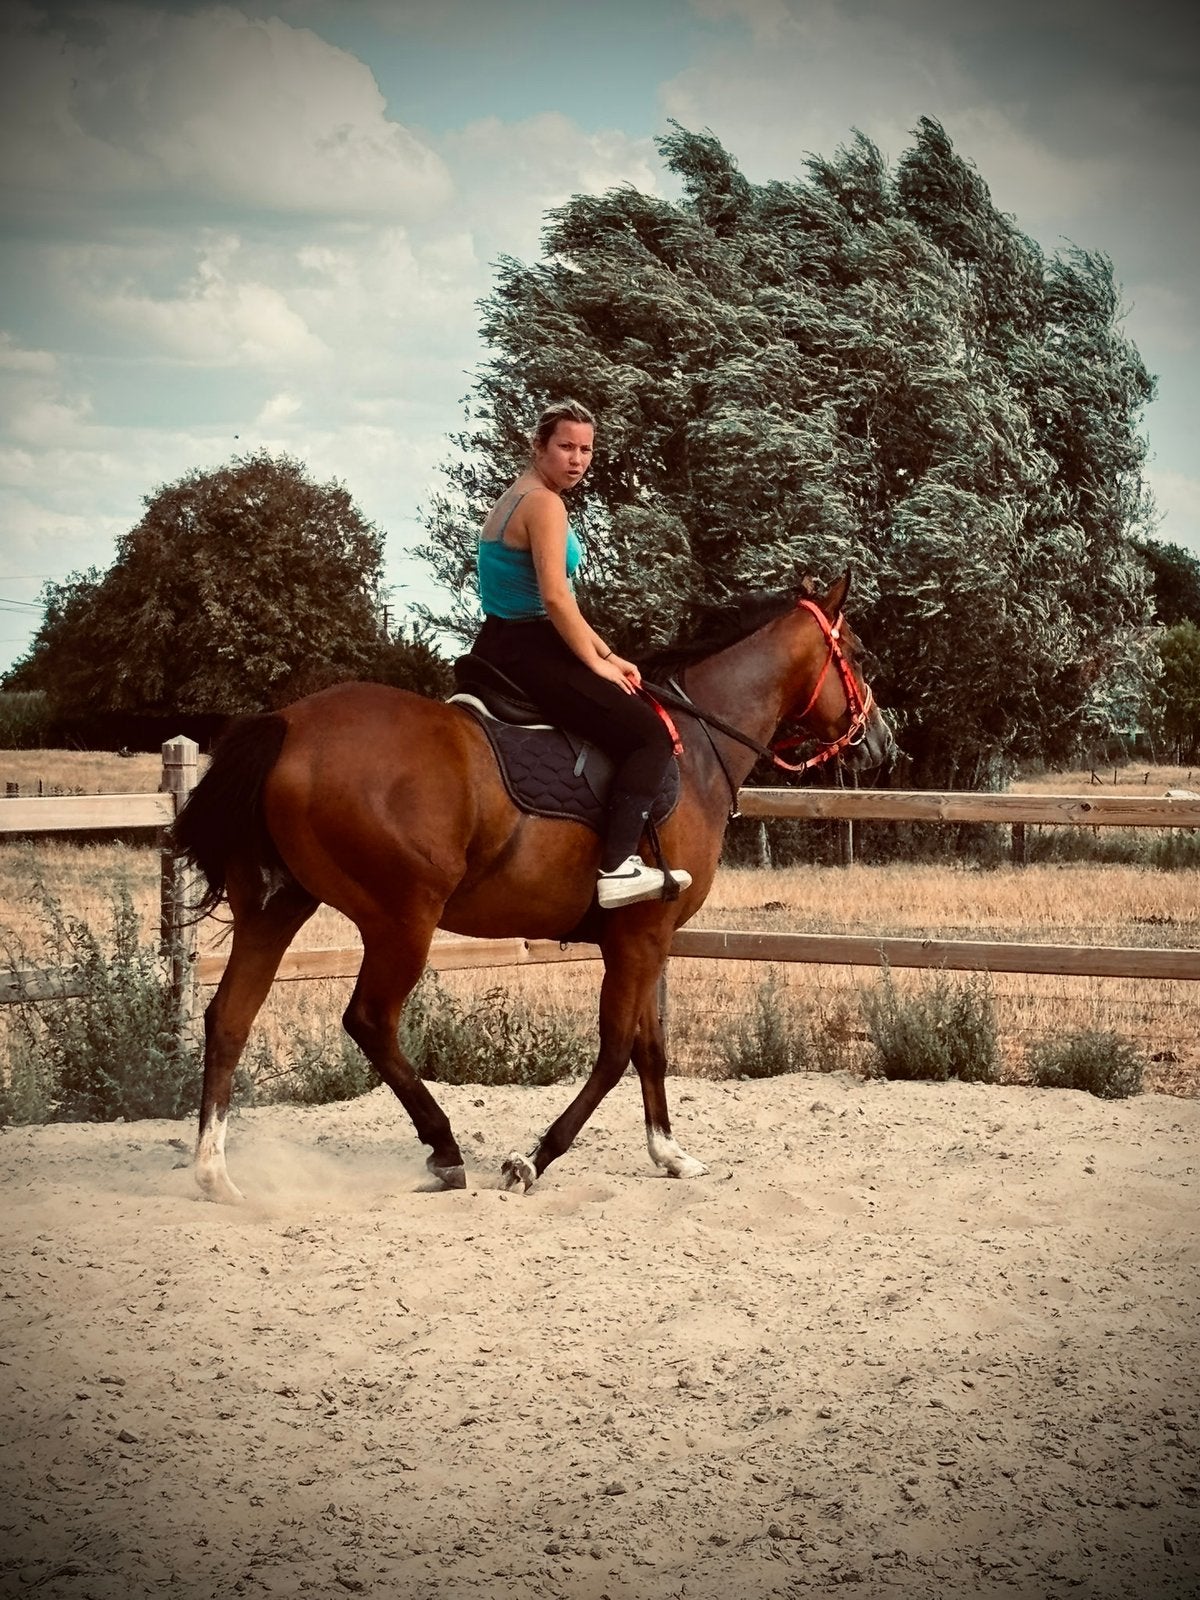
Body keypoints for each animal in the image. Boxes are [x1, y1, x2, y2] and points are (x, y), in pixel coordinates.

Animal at [173, 572, 894, 1203]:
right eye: (858, 654)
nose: (882, 742)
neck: (695, 747)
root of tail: (290, 724)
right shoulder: (643, 935)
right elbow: (616, 1051)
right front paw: (534, 1158)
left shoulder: (639, 937)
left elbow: (648, 1047)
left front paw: (669, 1152)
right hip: (402, 920)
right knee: (369, 1021)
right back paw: (445, 1148)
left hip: (277, 907)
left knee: (229, 1018)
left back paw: (215, 1173)